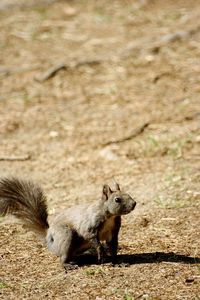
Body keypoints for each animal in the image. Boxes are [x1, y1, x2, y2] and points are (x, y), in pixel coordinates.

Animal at [0, 177, 136, 268]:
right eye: (117, 200)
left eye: (128, 194)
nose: (134, 203)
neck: (110, 216)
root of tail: (48, 236)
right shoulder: (89, 225)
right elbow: (91, 236)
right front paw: (101, 253)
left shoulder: (113, 231)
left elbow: (113, 246)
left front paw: (116, 262)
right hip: (65, 234)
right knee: (63, 256)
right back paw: (67, 265)